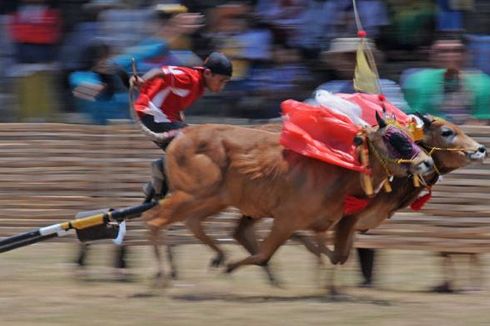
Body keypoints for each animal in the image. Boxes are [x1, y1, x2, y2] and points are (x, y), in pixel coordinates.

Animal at [144, 116, 434, 282]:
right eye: (393, 138)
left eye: (410, 136)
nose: (427, 163)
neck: (340, 169)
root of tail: (180, 137)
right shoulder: (286, 220)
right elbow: (263, 255)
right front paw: (232, 268)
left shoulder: (330, 223)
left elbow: (335, 255)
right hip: (190, 195)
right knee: (154, 219)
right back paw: (163, 276)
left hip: (211, 200)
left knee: (190, 223)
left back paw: (218, 256)